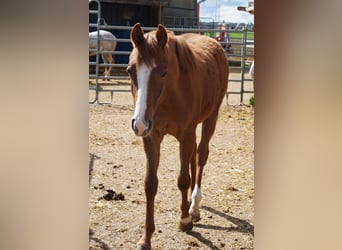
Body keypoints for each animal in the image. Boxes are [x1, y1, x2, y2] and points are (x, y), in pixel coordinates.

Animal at [127, 22, 228, 249]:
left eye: (163, 72)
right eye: (129, 70)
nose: (139, 123)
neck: (168, 98)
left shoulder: (186, 134)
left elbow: (183, 179)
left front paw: (184, 220)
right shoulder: (151, 137)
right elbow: (150, 184)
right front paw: (146, 237)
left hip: (211, 118)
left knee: (201, 156)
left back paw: (194, 206)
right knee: (193, 158)